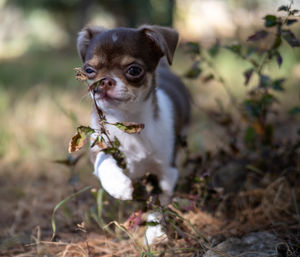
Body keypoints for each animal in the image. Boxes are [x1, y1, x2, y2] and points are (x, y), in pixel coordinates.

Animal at [77, 24, 190, 242]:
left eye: (134, 70)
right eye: (89, 70)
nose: (104, 81)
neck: (128, 122)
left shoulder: (166, 172)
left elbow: (157, 202)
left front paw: (155, 232)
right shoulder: (100, 144)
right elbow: (104, 161)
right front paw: (119, 184)